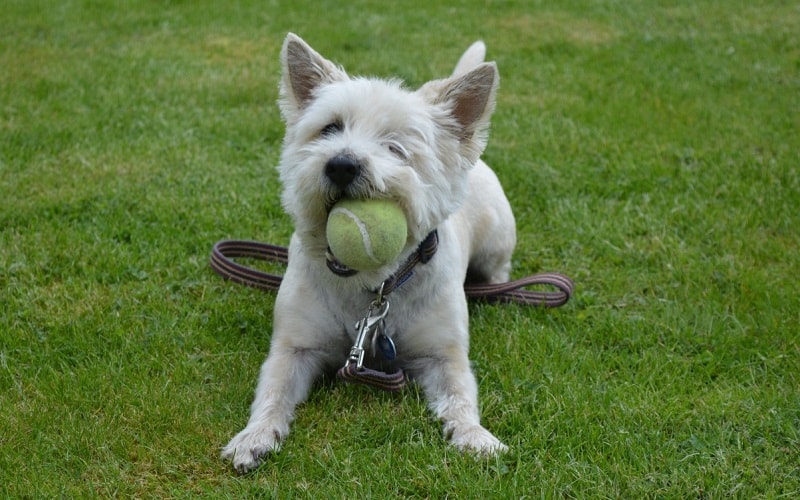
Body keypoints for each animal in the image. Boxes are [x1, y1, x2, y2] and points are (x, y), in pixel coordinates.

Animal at [222, 32, 516, 472]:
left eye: (396, 147)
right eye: (330, 128)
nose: (341, 164)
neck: (370, 288)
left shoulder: (443, 355)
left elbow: (459, 397)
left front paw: (476, 437)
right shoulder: (294, 347)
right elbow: (273, 392)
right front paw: (253, 438)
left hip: (497, 238)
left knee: (499, 270)